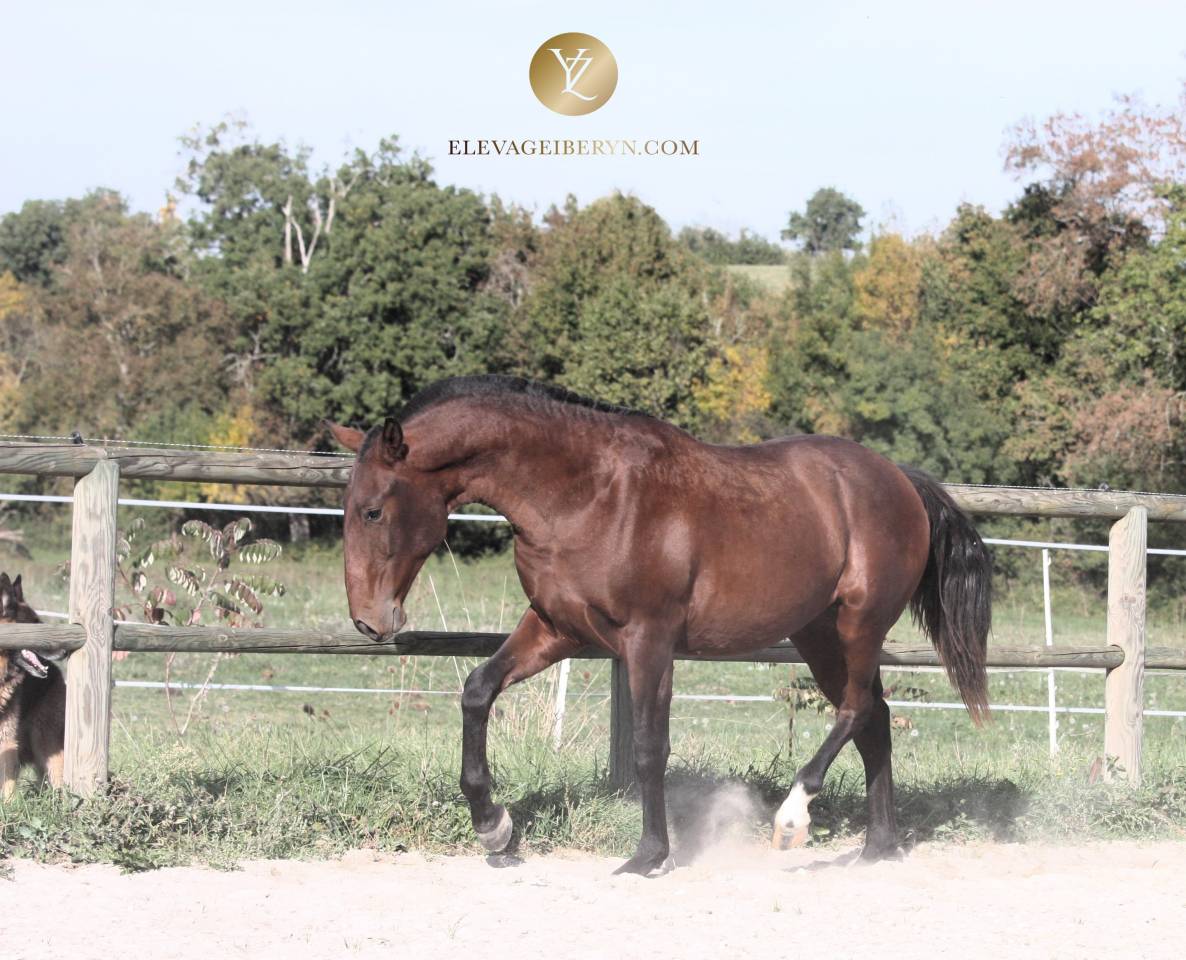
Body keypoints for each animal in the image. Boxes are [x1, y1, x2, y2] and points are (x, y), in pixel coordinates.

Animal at [327, 375, 991, 875]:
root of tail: (900, 479)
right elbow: (477, 691)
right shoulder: (557, 628)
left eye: (373, 510)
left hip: (857, 624)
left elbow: (650, 746)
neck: (588, 494)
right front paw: (495, 830)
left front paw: (649, 855)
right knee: (874, 720)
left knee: (856, 710)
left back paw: (792, 820)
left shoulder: (649, 639)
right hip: (817, 634)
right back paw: (879, 848)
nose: (370, 619)